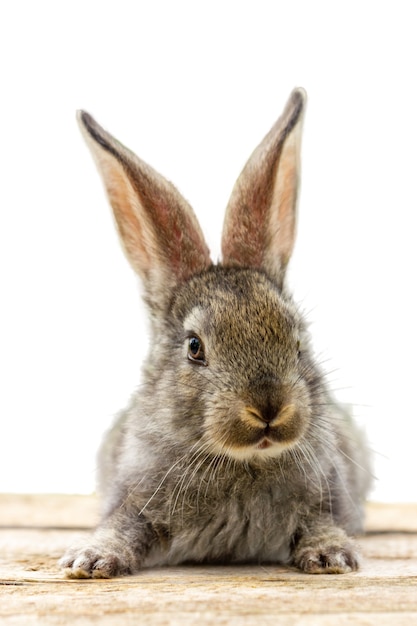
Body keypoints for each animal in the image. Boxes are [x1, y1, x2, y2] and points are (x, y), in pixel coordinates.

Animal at [59, 86, 370, 576]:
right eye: (194, 347)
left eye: (298, 341)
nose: (268, 407)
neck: (243, 461)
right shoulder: (135, 497)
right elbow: (122, 526)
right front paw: (91, 560)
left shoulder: (328, 495)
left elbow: (322, 522)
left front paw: (332, 555)